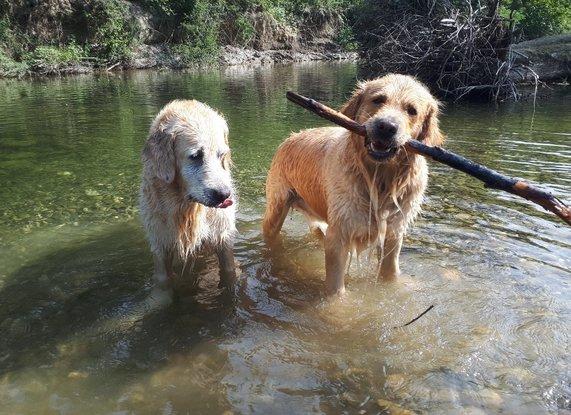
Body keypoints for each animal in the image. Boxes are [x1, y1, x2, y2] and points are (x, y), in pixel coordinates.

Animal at [141, 100, 237, 290]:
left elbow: (229, 271)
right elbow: (163, 282)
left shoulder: (222, 238)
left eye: (221, 155)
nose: (224, 195)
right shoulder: (160, 244)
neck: (186, 207)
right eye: (195, 156)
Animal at [262, 75, 444, 296]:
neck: (379, 178)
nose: (386, 127)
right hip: (277, 207)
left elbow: (390, 273)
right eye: (378, 100)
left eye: (412, 110)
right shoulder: (339, 235)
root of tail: (290, 137)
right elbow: (335, 289)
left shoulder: (394, 231)